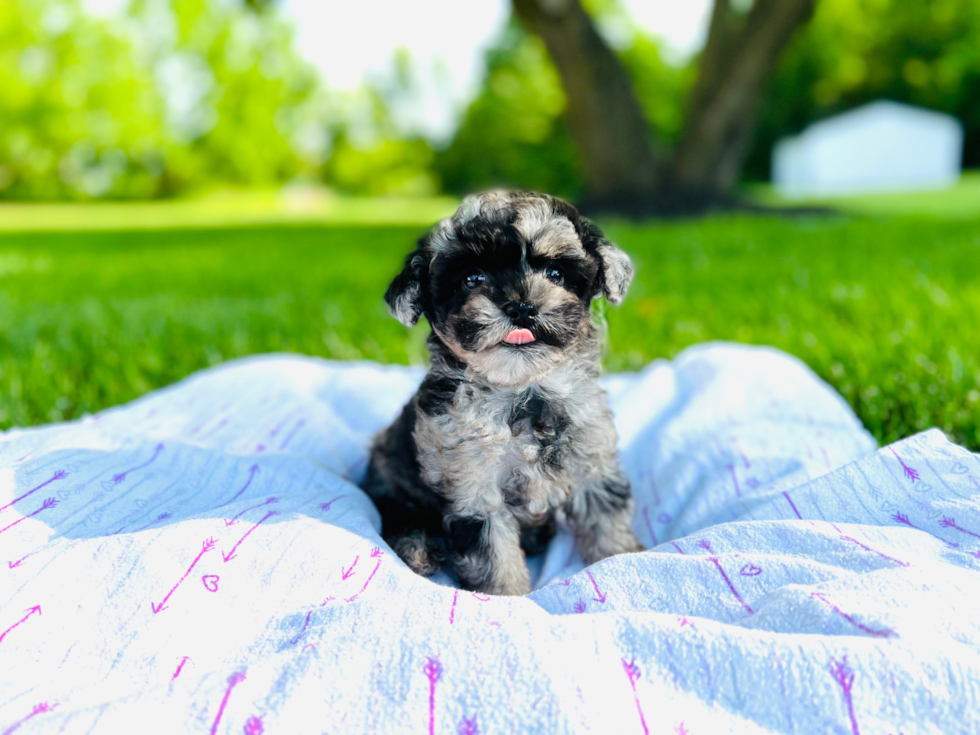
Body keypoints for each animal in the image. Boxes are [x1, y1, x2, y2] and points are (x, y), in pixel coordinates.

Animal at [362, 191, 644, 600]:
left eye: (555, 274)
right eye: (472, 278)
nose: (521, 307)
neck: (523, 388)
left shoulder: (594, 463)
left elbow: (607, 522)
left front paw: (619, 560)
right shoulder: (475, 491)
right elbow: (494, 555)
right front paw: (507, 599)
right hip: (393, 479)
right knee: (397, 515)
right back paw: (418, 549)